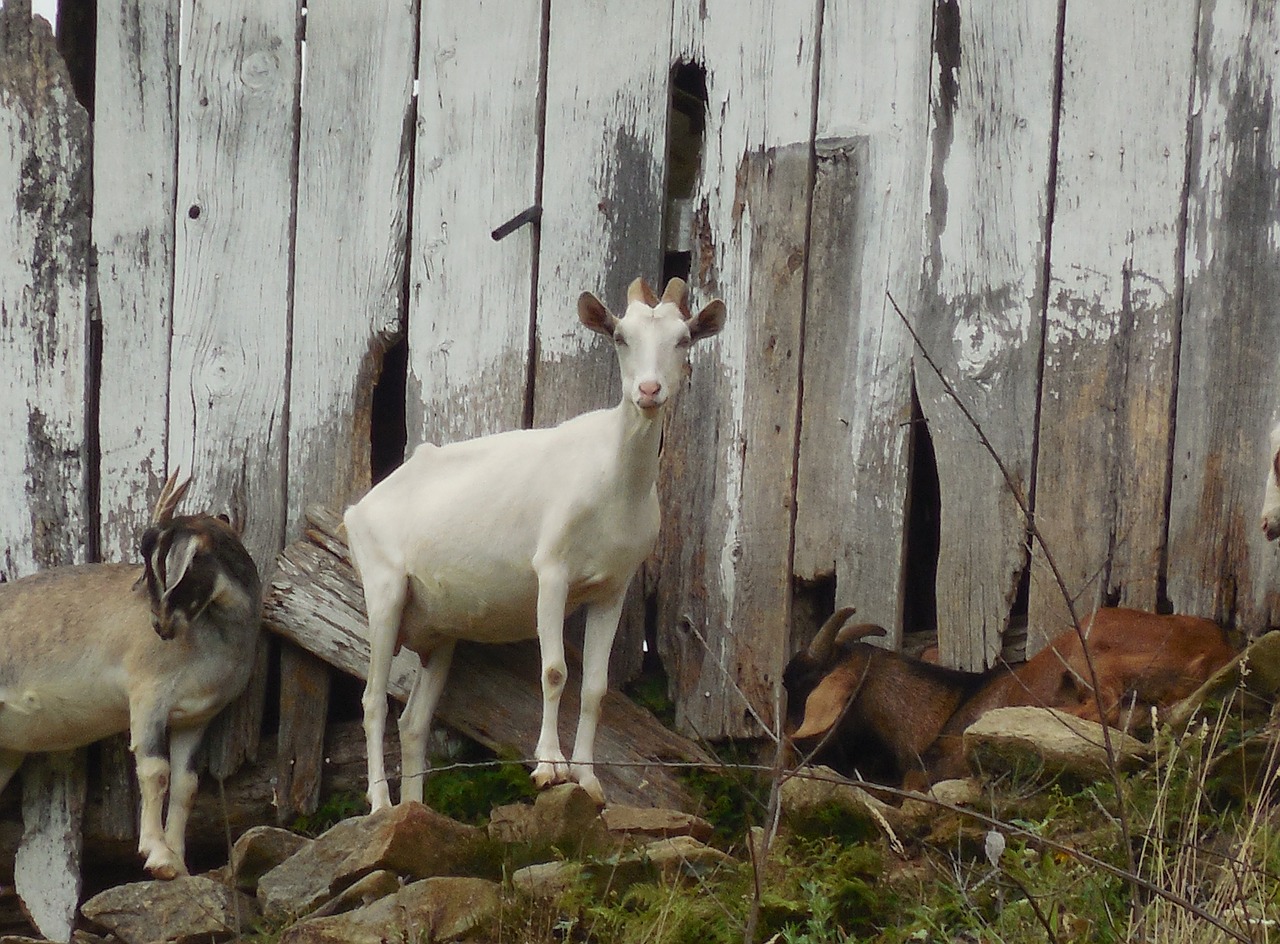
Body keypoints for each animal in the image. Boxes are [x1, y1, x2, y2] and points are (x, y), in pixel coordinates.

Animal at [350, 276, 727, 803]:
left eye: (684, 339)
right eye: (620, 336)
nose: (649, 390)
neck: (612, 480)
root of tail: (357, 509)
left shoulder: (612, 589)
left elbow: (595, 687)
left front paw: (588, 779)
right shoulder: (551, 571)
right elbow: (554, 671)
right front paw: (549, 767)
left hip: (440, 632)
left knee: (413, 722)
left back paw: (415, 809)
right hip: (384, 593)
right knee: (372, 702)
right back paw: (382, 805)